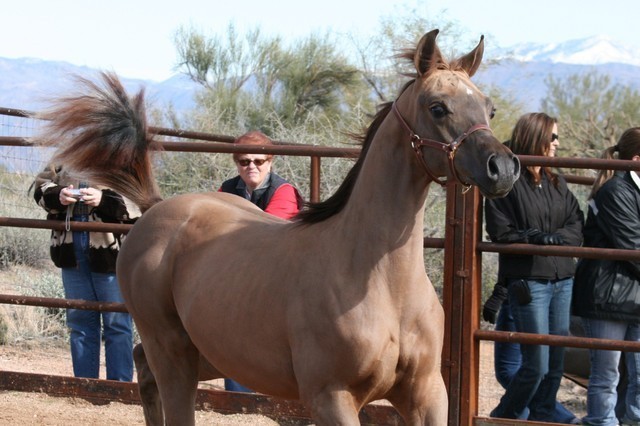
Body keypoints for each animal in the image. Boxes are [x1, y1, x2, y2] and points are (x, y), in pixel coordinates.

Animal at [33, 29, 520, 425]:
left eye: (490, 108)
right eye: (438, 107)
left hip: (207, 351)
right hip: (172, 349)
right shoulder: (330, 398)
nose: (503, 168)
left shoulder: (426, 394)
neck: (379, 281)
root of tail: (155, 210)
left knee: (142, 368)